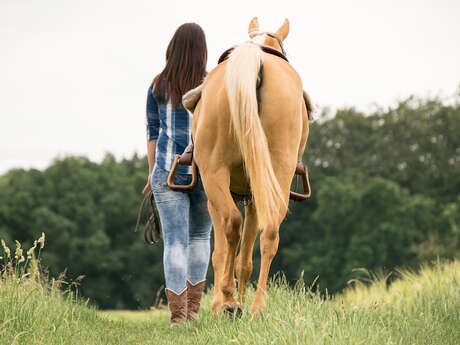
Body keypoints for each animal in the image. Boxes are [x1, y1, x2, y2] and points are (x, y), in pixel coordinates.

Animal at [189, 16, 310, 314]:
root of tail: (255, 59)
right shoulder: (255, 194)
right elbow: (245, 258)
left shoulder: (216, 196)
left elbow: (221, 252)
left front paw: (221, 301)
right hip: (275, 173)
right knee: (270, 232)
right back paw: (256, 307)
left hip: (216, 175)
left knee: (232, 223)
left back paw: (229, 300)